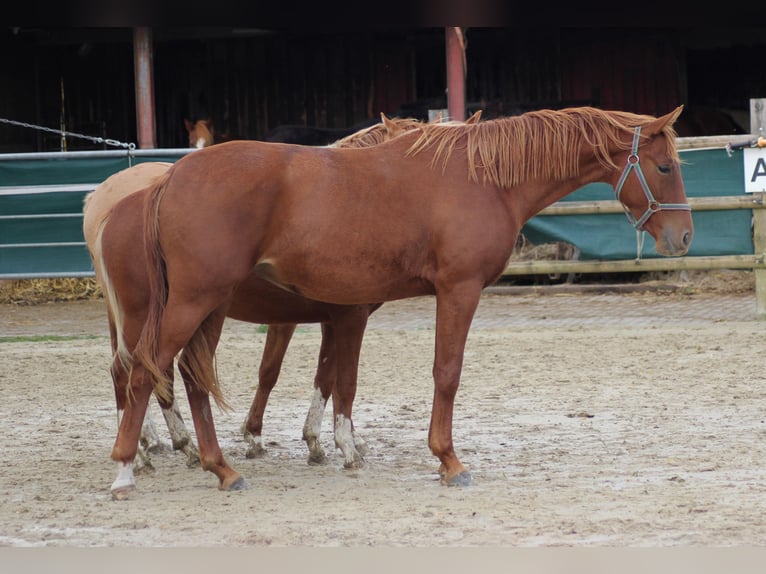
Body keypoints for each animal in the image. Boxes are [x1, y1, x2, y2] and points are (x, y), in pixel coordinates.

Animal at [114, 106, 696, 498]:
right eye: (666, 167)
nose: (685, 237)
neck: (483, 178)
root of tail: (171, 177)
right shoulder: (457, 291)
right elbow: (446, 373)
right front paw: (449, 460)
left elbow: (340, 382)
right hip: (190, 304)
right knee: (144, 373)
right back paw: (126, 469)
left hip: (206, 307)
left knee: (190, 379)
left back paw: (221, 468)